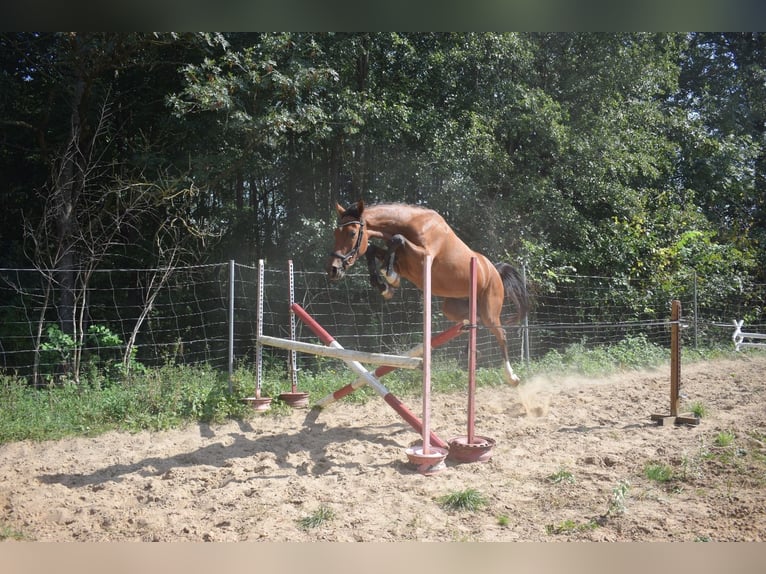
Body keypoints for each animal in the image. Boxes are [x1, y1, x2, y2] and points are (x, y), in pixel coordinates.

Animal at [324, 202, 528, 388]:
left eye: (352, 233)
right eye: (335, 234)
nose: (333, 270)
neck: (414, 224)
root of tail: (494, 270)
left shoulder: (424, 256)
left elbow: (397, 239)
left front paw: (389, 277)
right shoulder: (403, 262)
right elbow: (375, 250)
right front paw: (385, 285)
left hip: (490, 310)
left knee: (501, 334)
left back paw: (511, 376)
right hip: (452, 307)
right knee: (473, 319)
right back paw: (471, 350)